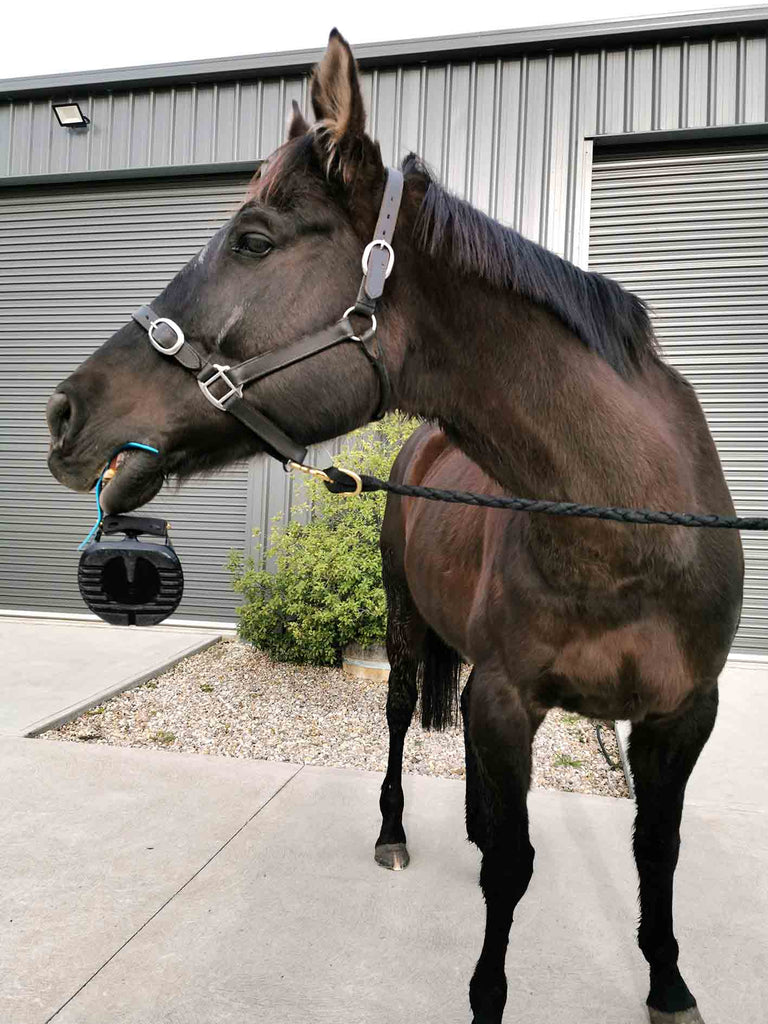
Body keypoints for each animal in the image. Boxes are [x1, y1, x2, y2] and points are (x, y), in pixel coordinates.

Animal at [45, 28, 741, 1019]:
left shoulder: (683, 716)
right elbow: (514, 868)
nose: (64, 415)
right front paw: (487, 993)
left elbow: (656, 850)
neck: (628, 529)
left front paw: (671, 981)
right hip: (407, 627)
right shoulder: (506, 698)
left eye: (253, 241)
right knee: (403, 714)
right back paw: (394, 833)